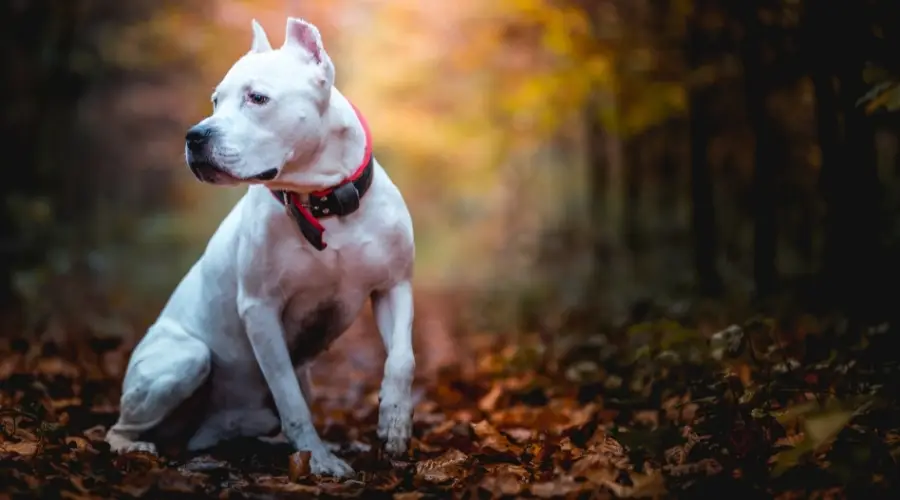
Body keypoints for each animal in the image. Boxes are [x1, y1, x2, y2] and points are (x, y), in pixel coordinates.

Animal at [104, 16, 418, 476]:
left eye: (257, 98)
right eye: (215, 100)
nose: (194, 136)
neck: (322, 203)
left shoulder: (394, 286)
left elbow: (401, 360)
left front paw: (394, 424)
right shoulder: (261, 310)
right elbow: (289, 398)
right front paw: (319, 461)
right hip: (185, 357)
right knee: (119, 428)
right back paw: (136, 447)